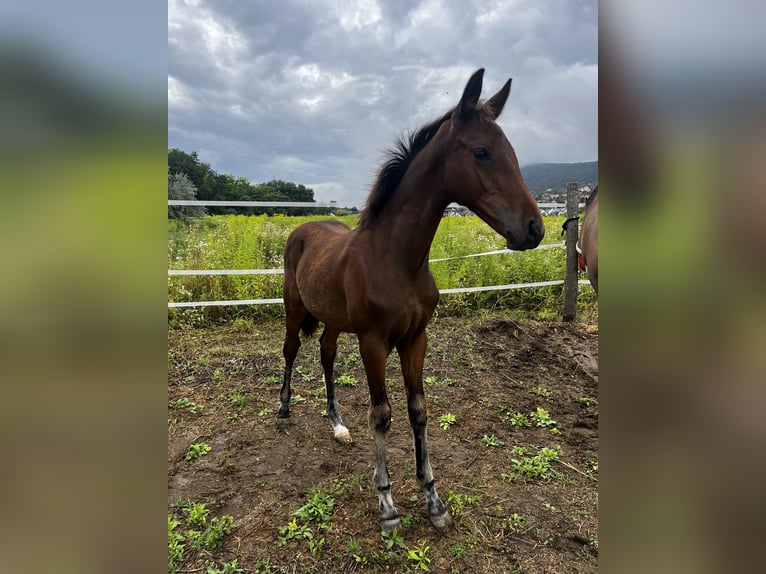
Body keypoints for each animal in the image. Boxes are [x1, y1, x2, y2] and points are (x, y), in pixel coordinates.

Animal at [278, 68, 545, 533]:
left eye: (512, 151)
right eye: (481, 152)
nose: (534, 228)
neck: (397, 259)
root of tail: (303, 229)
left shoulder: (416, 338)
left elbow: (418, 409)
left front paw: (434, 501)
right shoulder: (373, 342)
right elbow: (382, 413)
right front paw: (387, 505)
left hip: (334, 319)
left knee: (326, 354)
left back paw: (338, 426)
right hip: (296, 310)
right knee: (291, 350)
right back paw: (283, 410)